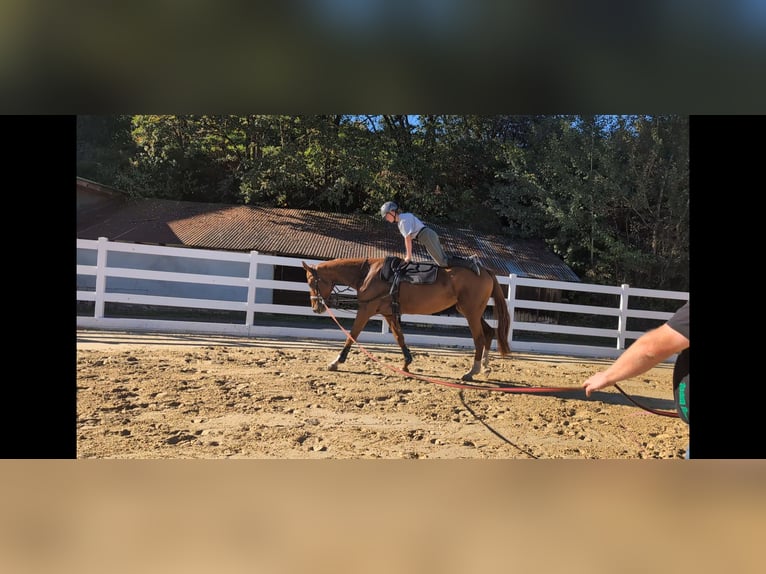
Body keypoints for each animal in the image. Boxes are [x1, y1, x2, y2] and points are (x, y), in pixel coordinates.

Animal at [301, 257, 511, 381]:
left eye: (311, 282)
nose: (316, 307)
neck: (367, 274)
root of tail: (484, 270)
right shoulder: (388, 313)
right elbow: (399, 337)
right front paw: (407, 363)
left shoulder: (366, 310)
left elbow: (352, 335)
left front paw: (336, 362)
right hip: (472, 311)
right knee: (489, 333)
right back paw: (485, 367)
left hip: (471, 312)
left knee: (479, 338)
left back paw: (472, 371)